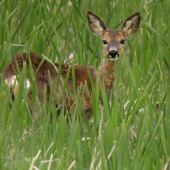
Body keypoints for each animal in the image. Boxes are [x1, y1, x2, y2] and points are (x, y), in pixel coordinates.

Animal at [2, 10, 141, 119]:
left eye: (122, 41)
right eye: (104, 41)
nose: (113, 52)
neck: (97, 82)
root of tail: (12, 73)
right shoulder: (77, 109)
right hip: (41, 101)